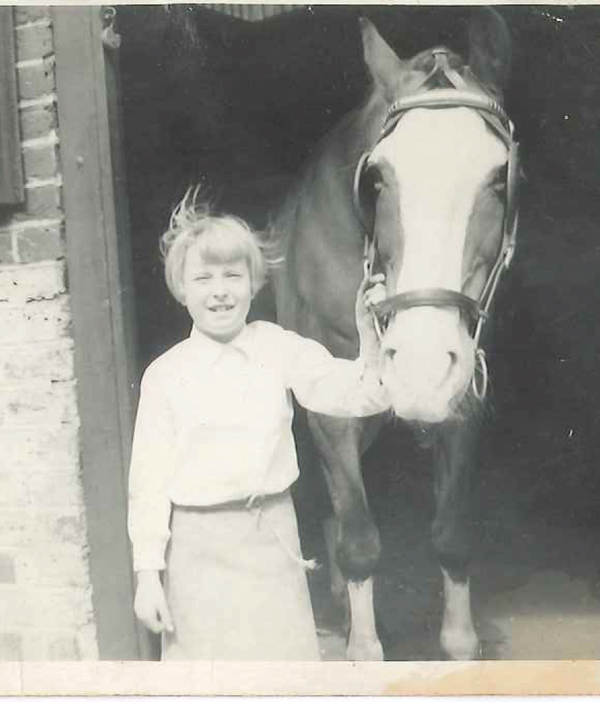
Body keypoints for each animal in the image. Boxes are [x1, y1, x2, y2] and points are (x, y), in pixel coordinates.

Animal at [268, 8, 520, 664]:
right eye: (376, 179)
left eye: (499, 179)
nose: (421, 371)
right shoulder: (330, 412)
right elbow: (359, 538)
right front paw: (363, 649)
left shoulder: (465, 397)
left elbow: (453, 534)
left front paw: (459, 643)